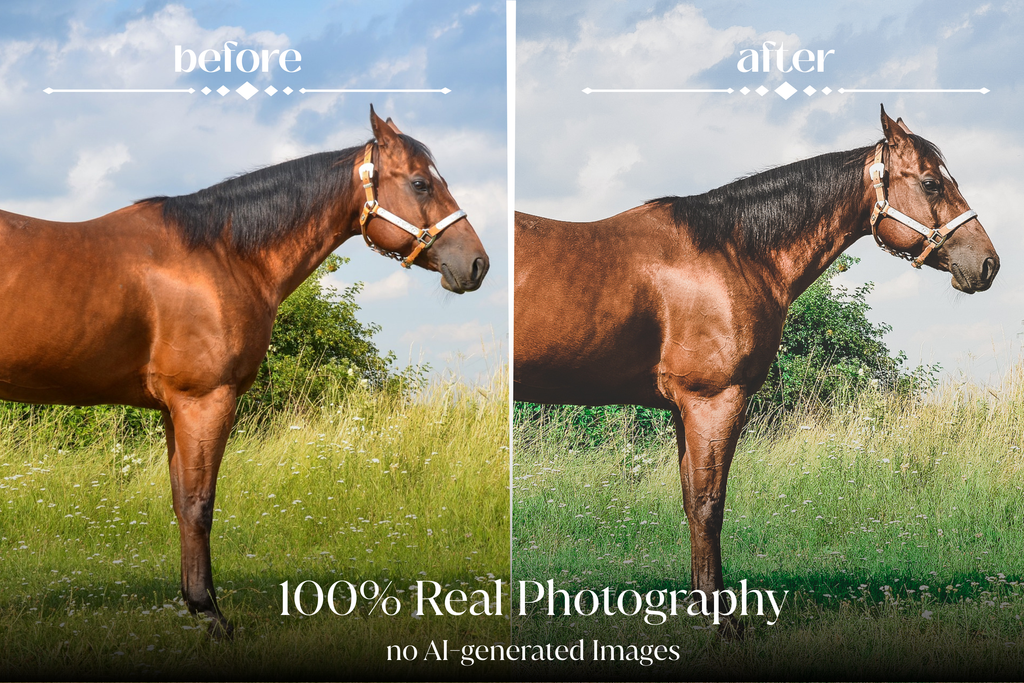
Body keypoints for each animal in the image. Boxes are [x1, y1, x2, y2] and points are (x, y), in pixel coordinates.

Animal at [0, 105, 489, 635]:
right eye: (421, 183)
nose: (478, 264)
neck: (221, 254)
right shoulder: (204, 400)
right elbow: (198, 505)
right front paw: (211, 613)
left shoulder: (174, 410)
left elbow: (181, 499)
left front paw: (195, 602)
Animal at [513, 106, 998, 630]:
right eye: (931, 183)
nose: (988, 264)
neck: (731, 252)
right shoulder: (713, 401)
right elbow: (708, 506)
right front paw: (721, 618)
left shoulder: (685, 410)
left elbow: (690, 499)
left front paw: (701, 604)